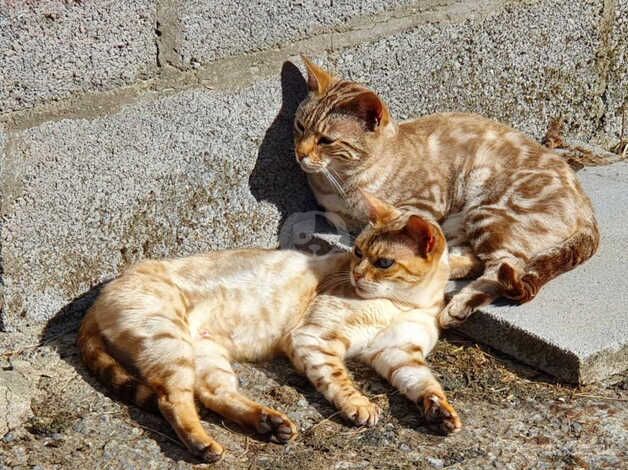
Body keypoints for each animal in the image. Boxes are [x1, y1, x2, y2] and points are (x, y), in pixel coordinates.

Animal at [79, 193, 462, 464]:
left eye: (383, 262)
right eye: (356, 252)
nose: (356, 274)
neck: (406, 304)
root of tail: (99, 295)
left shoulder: (398, 353)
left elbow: (425, 384)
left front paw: (440, 413)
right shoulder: (313, 337)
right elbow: (339, 380)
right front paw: (360, 405)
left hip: (203, 353)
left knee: (214, 394)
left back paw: (270, 423)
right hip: (169, 343)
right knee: (172, 400)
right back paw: (205, 444)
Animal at [294, 56, 600, 326]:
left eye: (326, 140)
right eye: (299, 126)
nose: (300, 153)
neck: (340, 182)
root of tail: (588, 209)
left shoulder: (425, 204)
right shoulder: (338, 214)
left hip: (488, 209)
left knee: (504, 267)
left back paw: (458, 303)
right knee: (477, 260)